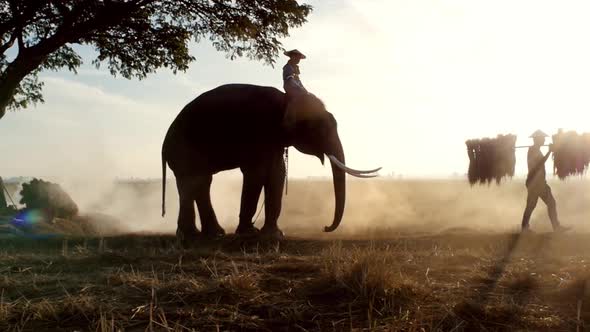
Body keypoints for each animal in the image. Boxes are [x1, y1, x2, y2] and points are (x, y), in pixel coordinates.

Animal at [161, 83, 380, 244]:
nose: (325, 227)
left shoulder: (274, 139)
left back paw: (210, 234)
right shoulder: (258, 130)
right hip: (184, 149)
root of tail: (164, 145)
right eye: (320, 129)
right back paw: (194, 236)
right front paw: (250, 233)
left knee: (199, 183)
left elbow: (277, 173)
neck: (286, 99)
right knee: (193, 182)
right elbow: (256, 173)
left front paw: (273, 234)